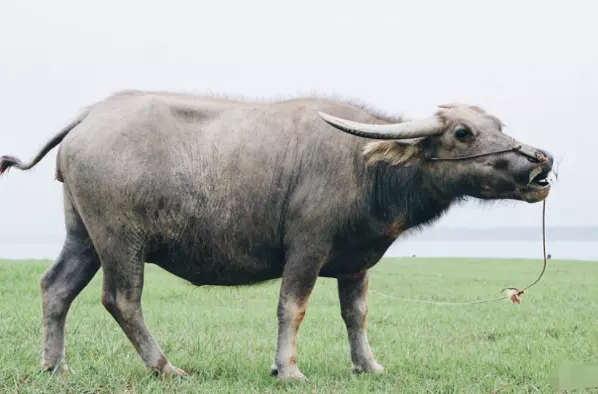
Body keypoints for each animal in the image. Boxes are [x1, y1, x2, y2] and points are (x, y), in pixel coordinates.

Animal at [0, 91, 556, 380]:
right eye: (463, 133)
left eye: (498, 124)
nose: (540, 163)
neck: (365, 168)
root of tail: (89, 117)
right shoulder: (306, 248)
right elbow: (293, 306)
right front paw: (286, 368)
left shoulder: (356, 261)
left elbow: (356, 314)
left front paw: (368, 365)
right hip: (120, 240)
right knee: (122, 299)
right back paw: (166, 368)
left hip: (84, 235)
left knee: (56, 287)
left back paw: (54, 366)